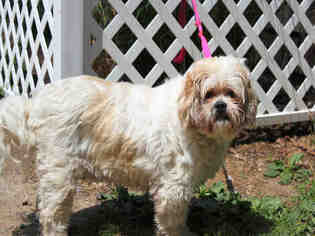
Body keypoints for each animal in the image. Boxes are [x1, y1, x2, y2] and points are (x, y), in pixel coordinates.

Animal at [0, 55, 256, 236]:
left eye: (231, 93)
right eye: (209, 94)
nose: (221, 106)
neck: (187, 116)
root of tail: (36, 103)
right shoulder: (173, 187)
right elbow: (172, 222)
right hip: (59, 175)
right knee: (50, 215)